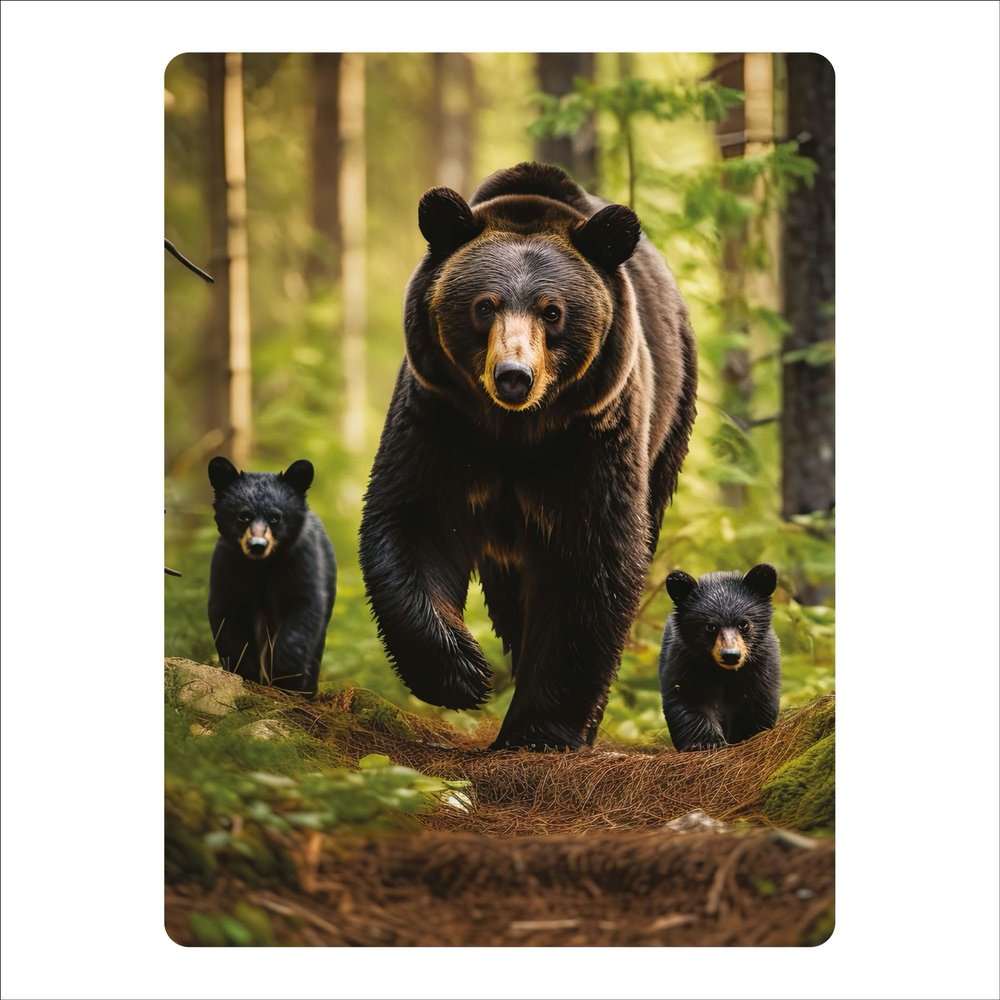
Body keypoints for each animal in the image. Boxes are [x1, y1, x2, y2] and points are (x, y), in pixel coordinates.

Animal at [207, 457, 336, 696]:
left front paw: (287, 675)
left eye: (275, 517)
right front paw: (246, 671)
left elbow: (303, 610)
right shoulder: (229, 566)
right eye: (244, 516)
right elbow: (228, 616)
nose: (257, 545)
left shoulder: (300, 561)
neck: (262, 566)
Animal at [359, 162, 698, 750]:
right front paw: (464, 673)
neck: (515, 432)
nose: (513, 375)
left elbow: (590, 561)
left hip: (670, 417)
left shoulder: (590, 435)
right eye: (484, 305)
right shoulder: (440, 417)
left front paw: (539, 729)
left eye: (553, 311)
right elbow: (415, 521)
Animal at [659, 563, 781, 751]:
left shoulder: (761, 664)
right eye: (710, 626)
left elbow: (758, 701)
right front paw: (707, 742)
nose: (730, 655)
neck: (724, 673)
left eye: (743, 624)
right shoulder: (685, 660)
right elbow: (689, 697)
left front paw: (747, 734)